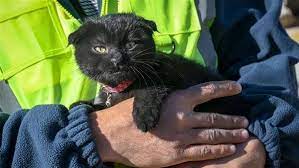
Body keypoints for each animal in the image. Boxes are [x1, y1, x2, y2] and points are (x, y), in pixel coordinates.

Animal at [69, 13, 250, 131]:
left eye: (131, 45)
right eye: (100, 48)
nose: (117, 59)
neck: (123, 87)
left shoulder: (174, 75)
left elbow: (150, 88)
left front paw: (144, 116)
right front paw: (82, 104)